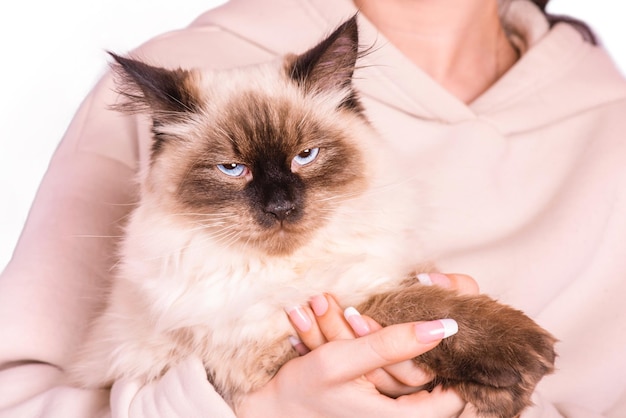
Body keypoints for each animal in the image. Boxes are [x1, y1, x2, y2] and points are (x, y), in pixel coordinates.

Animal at [69, 14, 556, 416]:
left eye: (305, 156)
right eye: (233, 168)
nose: (281, 207)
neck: (296, 268)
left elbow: (416, 291)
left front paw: (501, 395)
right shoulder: (264, 345)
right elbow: (399, 306)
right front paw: (519, 361)